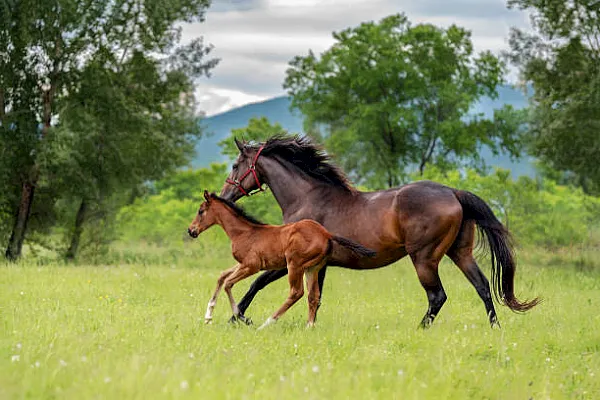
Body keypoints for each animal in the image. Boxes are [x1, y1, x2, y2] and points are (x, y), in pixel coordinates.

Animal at [188, 192, 376, 330]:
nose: (191, 230)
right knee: (313, 295)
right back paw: (309, 326)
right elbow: (221, 276)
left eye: (200, 211)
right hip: (313, 268)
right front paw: (208, 316)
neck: (243, 232)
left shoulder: (251, 266)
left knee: (296, 293)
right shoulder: (243, 264)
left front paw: (244, 318)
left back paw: (267, 323)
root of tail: (326, 233)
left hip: (294, 265)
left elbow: (228, 283)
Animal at [217, 134, 540, 328]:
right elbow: (314, 298)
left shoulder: (291, 261)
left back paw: (419, 329)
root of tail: (452, 192)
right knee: (483, 287)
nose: (224, 196)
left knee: (437, 296)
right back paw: (495, 328)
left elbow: (256, 283)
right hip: (460, 253)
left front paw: (237, 318)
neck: (307, 197)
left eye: (235, 165)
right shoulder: (318, 265)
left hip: (424, 258)